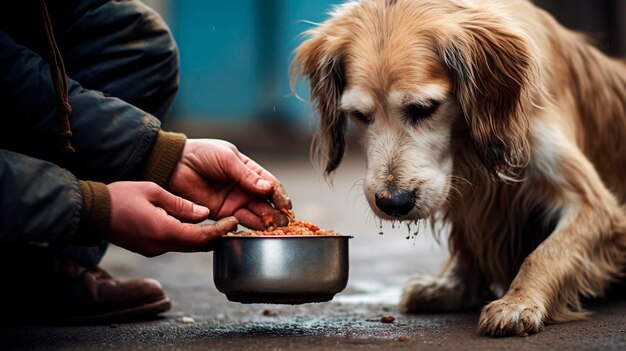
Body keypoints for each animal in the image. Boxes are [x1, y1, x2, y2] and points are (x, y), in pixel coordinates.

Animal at [290, 0, 624, 338]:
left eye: (424, 109)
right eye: (359, 115)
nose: (393, 203)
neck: (466, 143)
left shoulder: (595, 206)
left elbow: (545, 253)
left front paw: (518, 303)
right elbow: (469, 245)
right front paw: (452, 288)